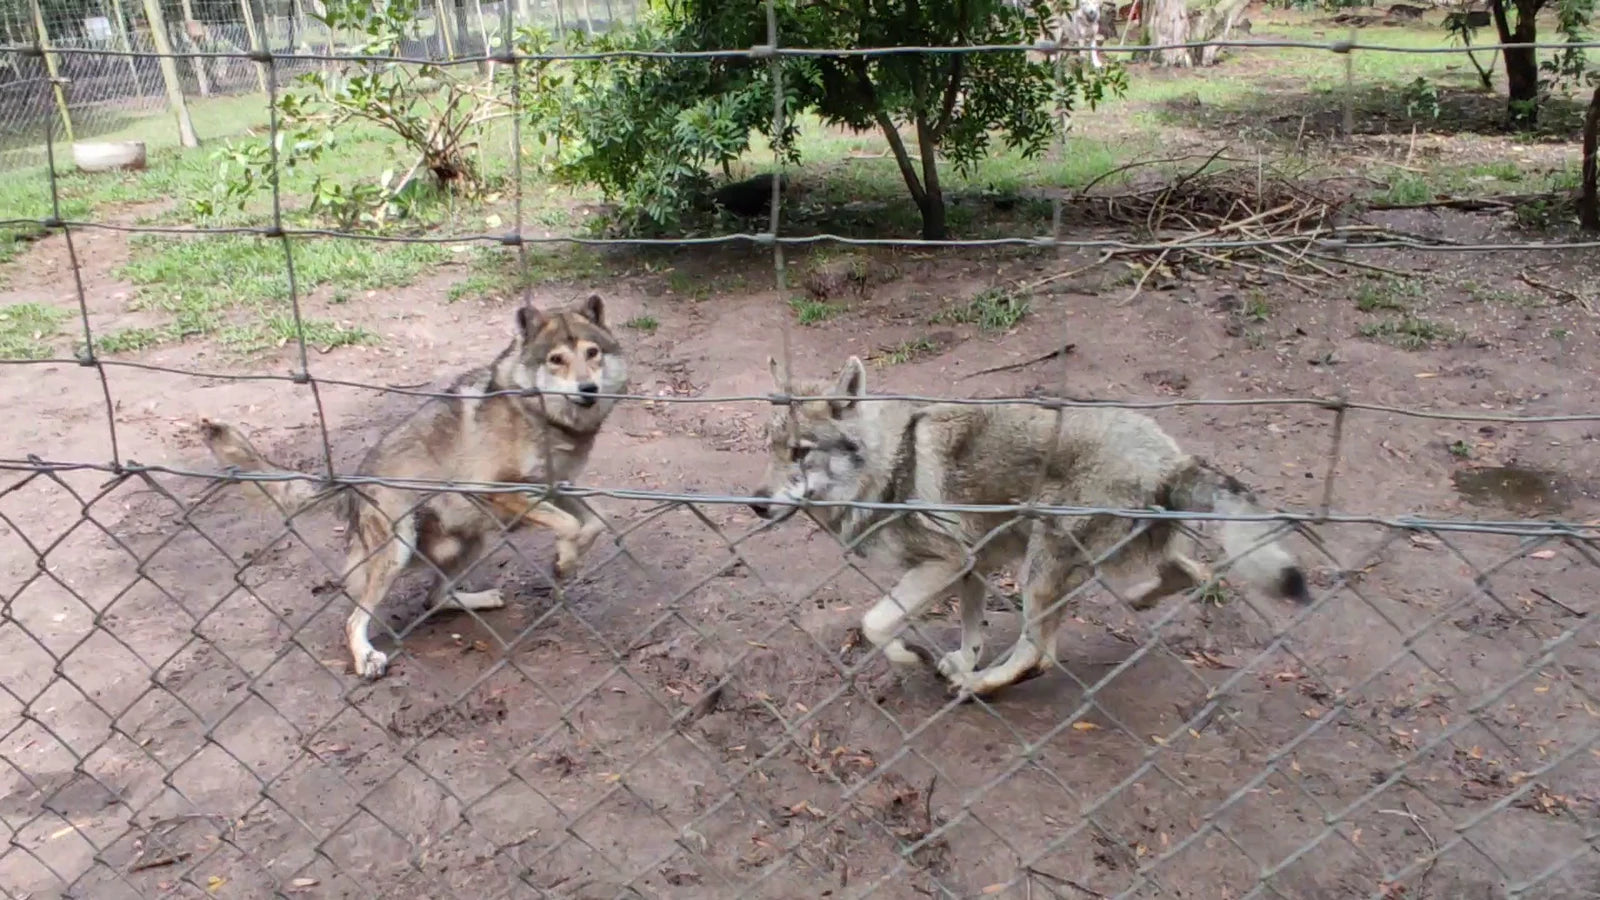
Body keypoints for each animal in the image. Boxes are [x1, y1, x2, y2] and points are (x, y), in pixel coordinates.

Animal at [196, 294, 628, 680]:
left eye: (592, 353)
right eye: (556, 359)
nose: (589, 390)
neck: (544, 418)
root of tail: (352, 484)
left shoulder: (557, 488)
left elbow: (595, 521)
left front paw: (567, 559)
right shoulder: (498, 490)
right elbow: (572, 525)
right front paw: (564, 560)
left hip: (472, 541)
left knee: (433, 598)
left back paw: (482, 599)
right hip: (399, 545)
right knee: (357, 618)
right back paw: (367, 660)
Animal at [748, 356, 1311, 699]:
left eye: (800, 453)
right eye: (769, 450)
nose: (754, 504)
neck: (885, 466)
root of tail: (1168, 459)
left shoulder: (947, 561)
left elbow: (875, 624)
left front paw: (912, 660)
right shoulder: (972, 564)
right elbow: (972, 629)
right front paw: (961, 660)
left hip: (1039, 569)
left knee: (1040, 655)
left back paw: (979, 688)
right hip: (1096, 560)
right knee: (1191, 572)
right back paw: (1140, 601)